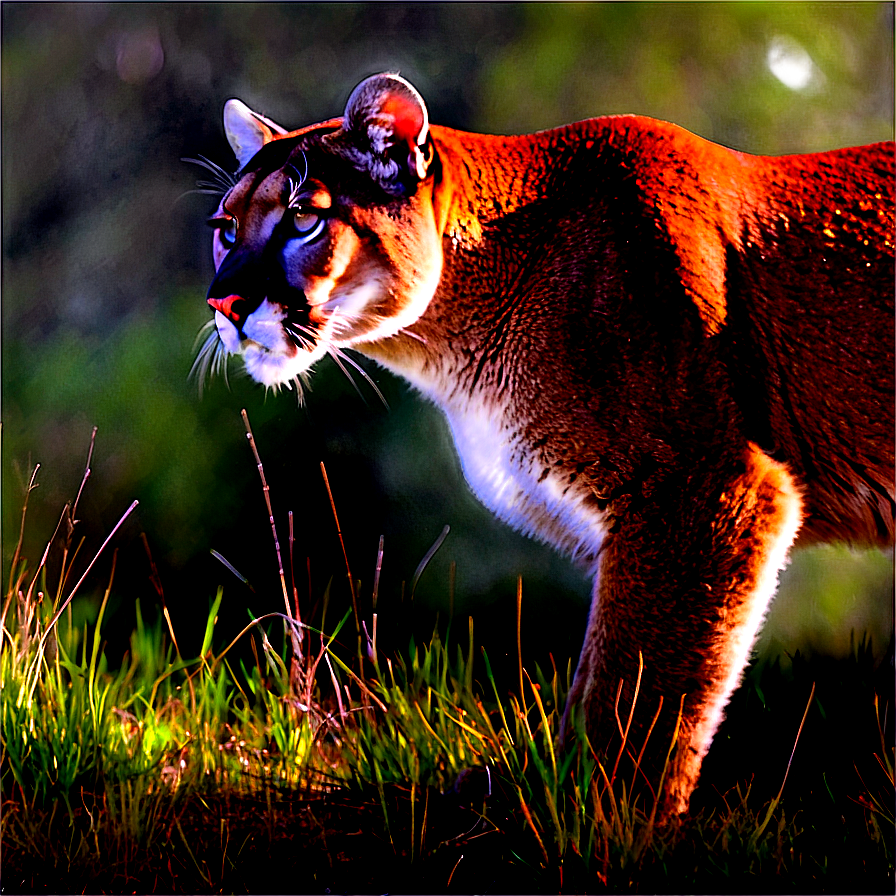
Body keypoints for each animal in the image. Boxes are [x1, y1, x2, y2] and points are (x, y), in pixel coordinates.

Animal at [200, 73, 892, 816]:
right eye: (225, 229)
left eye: (303, 217)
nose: (223, 304)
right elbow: (597, 674)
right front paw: (536, 790)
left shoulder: (702, 493)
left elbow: (635, 692)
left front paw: (604, 814)